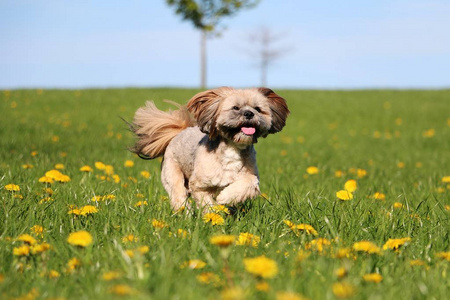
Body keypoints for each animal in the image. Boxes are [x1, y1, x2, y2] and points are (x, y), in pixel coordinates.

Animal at [130, 87, 290, 211]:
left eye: (258, 109)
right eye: (235, 108)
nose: (249, 113)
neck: (233, 149)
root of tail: (180, 132)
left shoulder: (249, 176)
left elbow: (250, 182)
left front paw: (225, 197)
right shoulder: (199, 185)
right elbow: (207, 203)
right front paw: (213, 216)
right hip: (172, 173)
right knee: (178, 194)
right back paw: (185, 213)